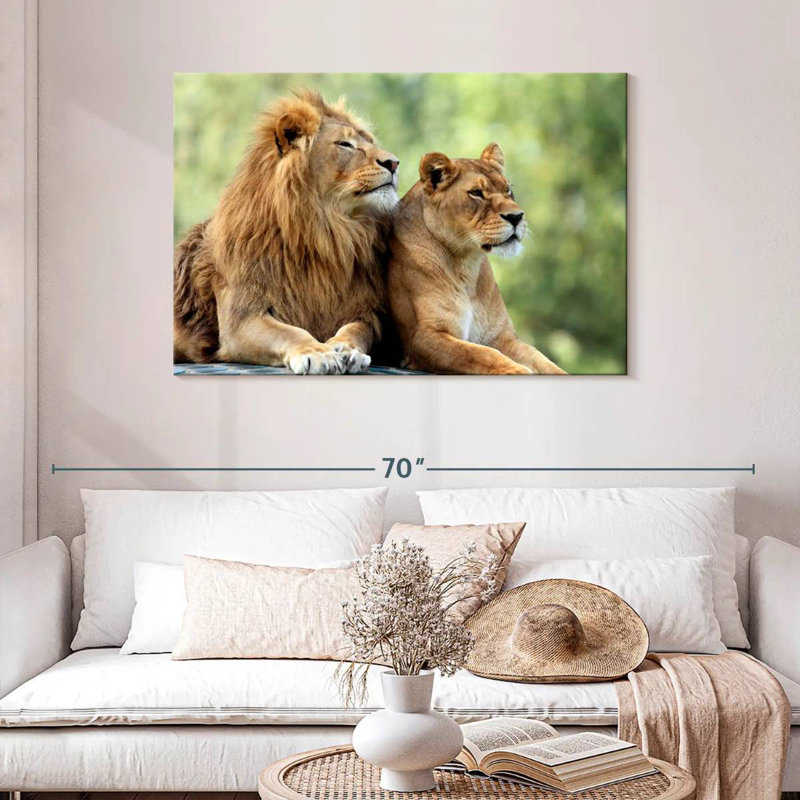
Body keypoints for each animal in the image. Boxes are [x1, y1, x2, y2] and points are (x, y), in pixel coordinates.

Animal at [174, 90, 400, 374]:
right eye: (345, 144)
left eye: (370, 141)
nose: (394, 163)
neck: (327, 233)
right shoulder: (241, 318)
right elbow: (290, 332)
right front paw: (317, 353)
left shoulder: (366, 312)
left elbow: (356, 329)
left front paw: (347, 349)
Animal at [386, 144, 566, 375]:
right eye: (476, 193)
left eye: (508, 189)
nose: (516, 216)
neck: (466, 266)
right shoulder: (423, 337)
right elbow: (480, 354)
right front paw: (518, 371)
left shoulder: (501, 335)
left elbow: (542, 360)